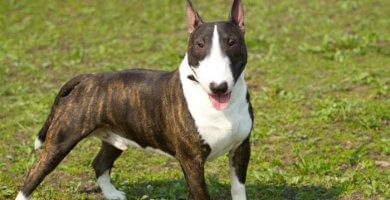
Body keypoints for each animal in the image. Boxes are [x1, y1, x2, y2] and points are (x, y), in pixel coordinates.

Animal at [16, 0, 253, 199]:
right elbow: (201, 194)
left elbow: (238, 190)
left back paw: (112, 194)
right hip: (60, 142)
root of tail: (87, 78)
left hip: (114, 136)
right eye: (200, 45)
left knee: (99, 164)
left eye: (232, 42)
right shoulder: (191, 160)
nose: (218, 86)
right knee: (33, 176)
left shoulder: (241, 149)